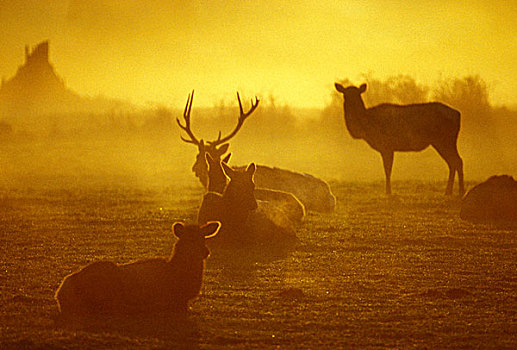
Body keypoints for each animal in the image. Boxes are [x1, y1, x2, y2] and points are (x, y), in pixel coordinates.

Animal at [334, 83, 464, 196]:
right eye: (345, 95)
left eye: (358, 95)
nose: (351, 105)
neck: (366, 128)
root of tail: (458, 114)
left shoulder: (387, 146)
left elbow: (387, 169)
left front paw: (388, 192)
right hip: (446, 141)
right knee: (454, 162)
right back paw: (449, 192)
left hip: (444, 140)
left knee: (457, 161)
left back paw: (460, 191)